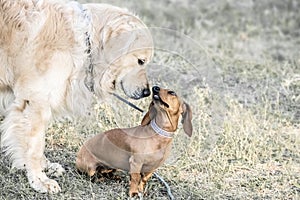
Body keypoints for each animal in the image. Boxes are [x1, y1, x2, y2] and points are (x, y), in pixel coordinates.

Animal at [0, 0, 154, 194]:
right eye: (141, 61)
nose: (147, 92)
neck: (86, 42)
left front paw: (44, 166)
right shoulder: (35, 101)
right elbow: (34, 146)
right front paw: (39, 180)